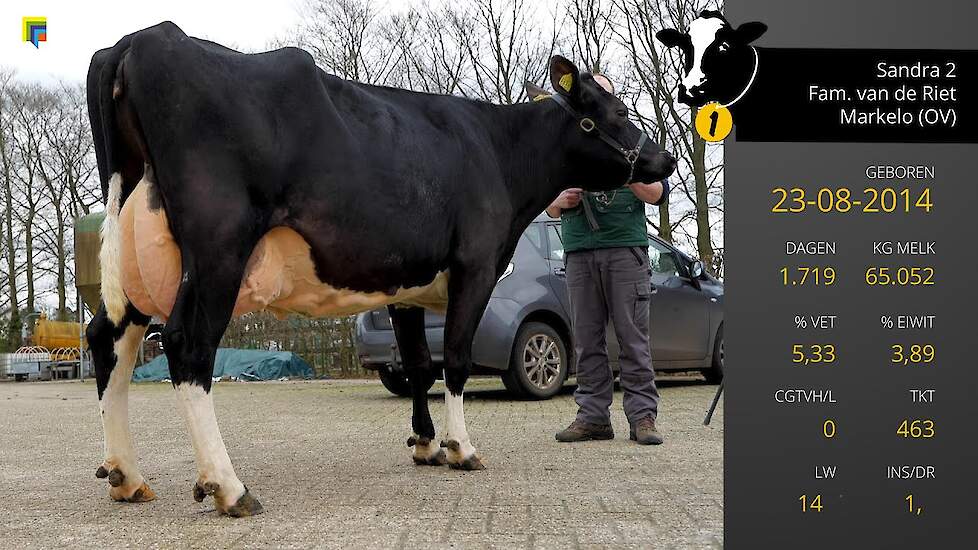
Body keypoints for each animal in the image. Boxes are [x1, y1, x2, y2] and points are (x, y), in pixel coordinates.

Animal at [87, 21, 676, 520]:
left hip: (140, 250)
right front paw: (462, 448)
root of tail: (143, 37)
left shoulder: (406, 286)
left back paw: (127, 476)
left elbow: (417, 364)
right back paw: (228, 486)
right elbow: (455, 357)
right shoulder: (476, 264)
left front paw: (427, 444)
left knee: (108, 339)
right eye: (616, 110)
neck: (498, 150)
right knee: (187, 343)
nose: (665, 161)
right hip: (217, 247)